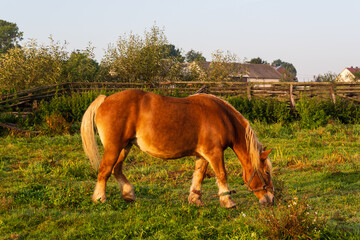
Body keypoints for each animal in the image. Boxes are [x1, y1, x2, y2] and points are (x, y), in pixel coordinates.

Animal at [81, 89, 272, 207]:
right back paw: (100, 198)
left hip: (124, 147)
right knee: (105, 170)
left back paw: (128, 194)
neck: (223, 118)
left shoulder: (203, 155)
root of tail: (105, 99)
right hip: (114, 148)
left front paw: (195, 199)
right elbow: (222, 175)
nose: (271, 199)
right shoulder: (214, 153)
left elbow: (199, 176)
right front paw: (227, 202)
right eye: (267, 172)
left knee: (117, 170)